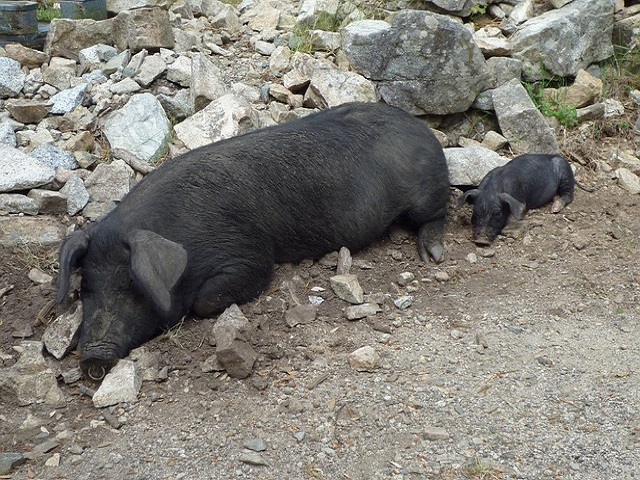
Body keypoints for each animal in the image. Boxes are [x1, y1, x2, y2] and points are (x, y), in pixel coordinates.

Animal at [56, 103, 450, 380]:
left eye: (133, 285)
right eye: (86, 287)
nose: (93, 355)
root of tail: (424, 129)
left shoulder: (248, 255)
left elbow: (207, 299)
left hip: (426, 195)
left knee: (438, 213)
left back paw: (432, 255)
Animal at [456, 153, 584, 246]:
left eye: (497, 213)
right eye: (475, 212)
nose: (481, 240)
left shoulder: (521, 201)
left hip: (565, 175)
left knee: (568, 195)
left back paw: (555, 208)